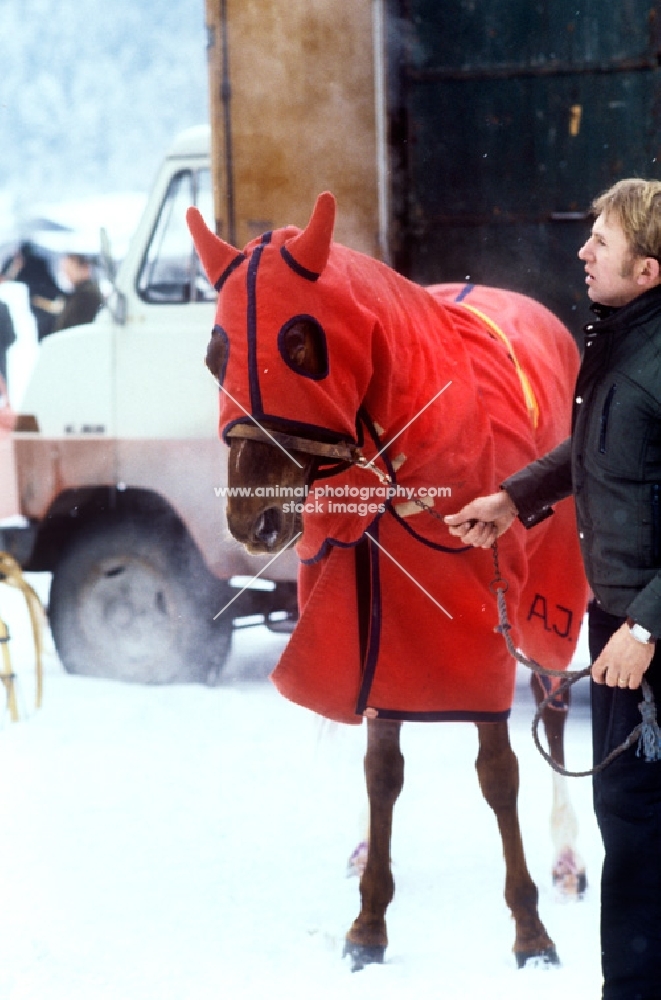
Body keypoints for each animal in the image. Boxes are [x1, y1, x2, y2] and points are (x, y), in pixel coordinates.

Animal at [186, 193, 588, 968]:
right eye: (216, 353)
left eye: (300, 343)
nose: (253, 519)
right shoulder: (374, 612)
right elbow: (381, 766)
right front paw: (369, 921)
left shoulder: (479, 622)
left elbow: (498, 772)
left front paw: (529, 931)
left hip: (548, 588)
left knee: (552, 703)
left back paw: (566, 859)